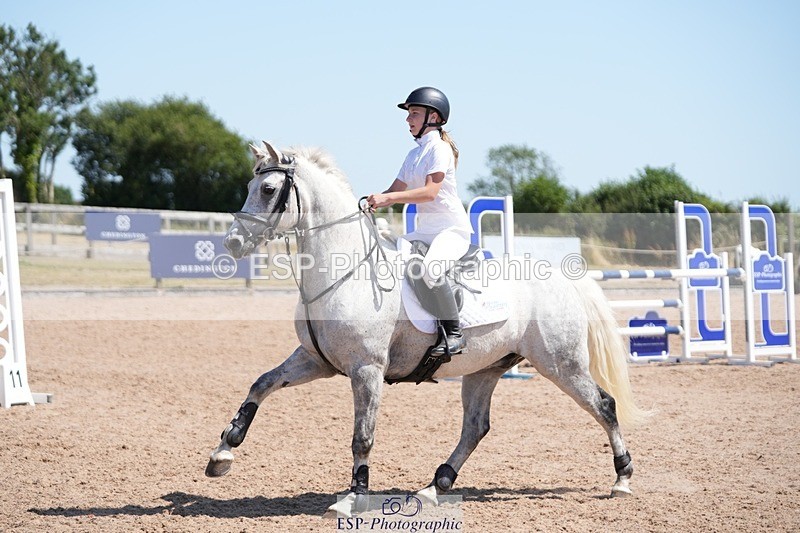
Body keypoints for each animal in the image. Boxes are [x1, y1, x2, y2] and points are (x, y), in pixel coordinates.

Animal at [206, 140, 649, 516]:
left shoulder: (366, 369)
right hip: (486, 369)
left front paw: (353, 498)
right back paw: (434, 487)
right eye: (251, 185)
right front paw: (223, 452)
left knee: (604, 405)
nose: (232, 244)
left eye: (267, 189)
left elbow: (362, 435)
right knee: (475, 428)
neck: (343, 272)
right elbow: (261, 384)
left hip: (560, 364)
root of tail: (559, 276)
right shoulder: (316, 360)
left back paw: (622, 479)